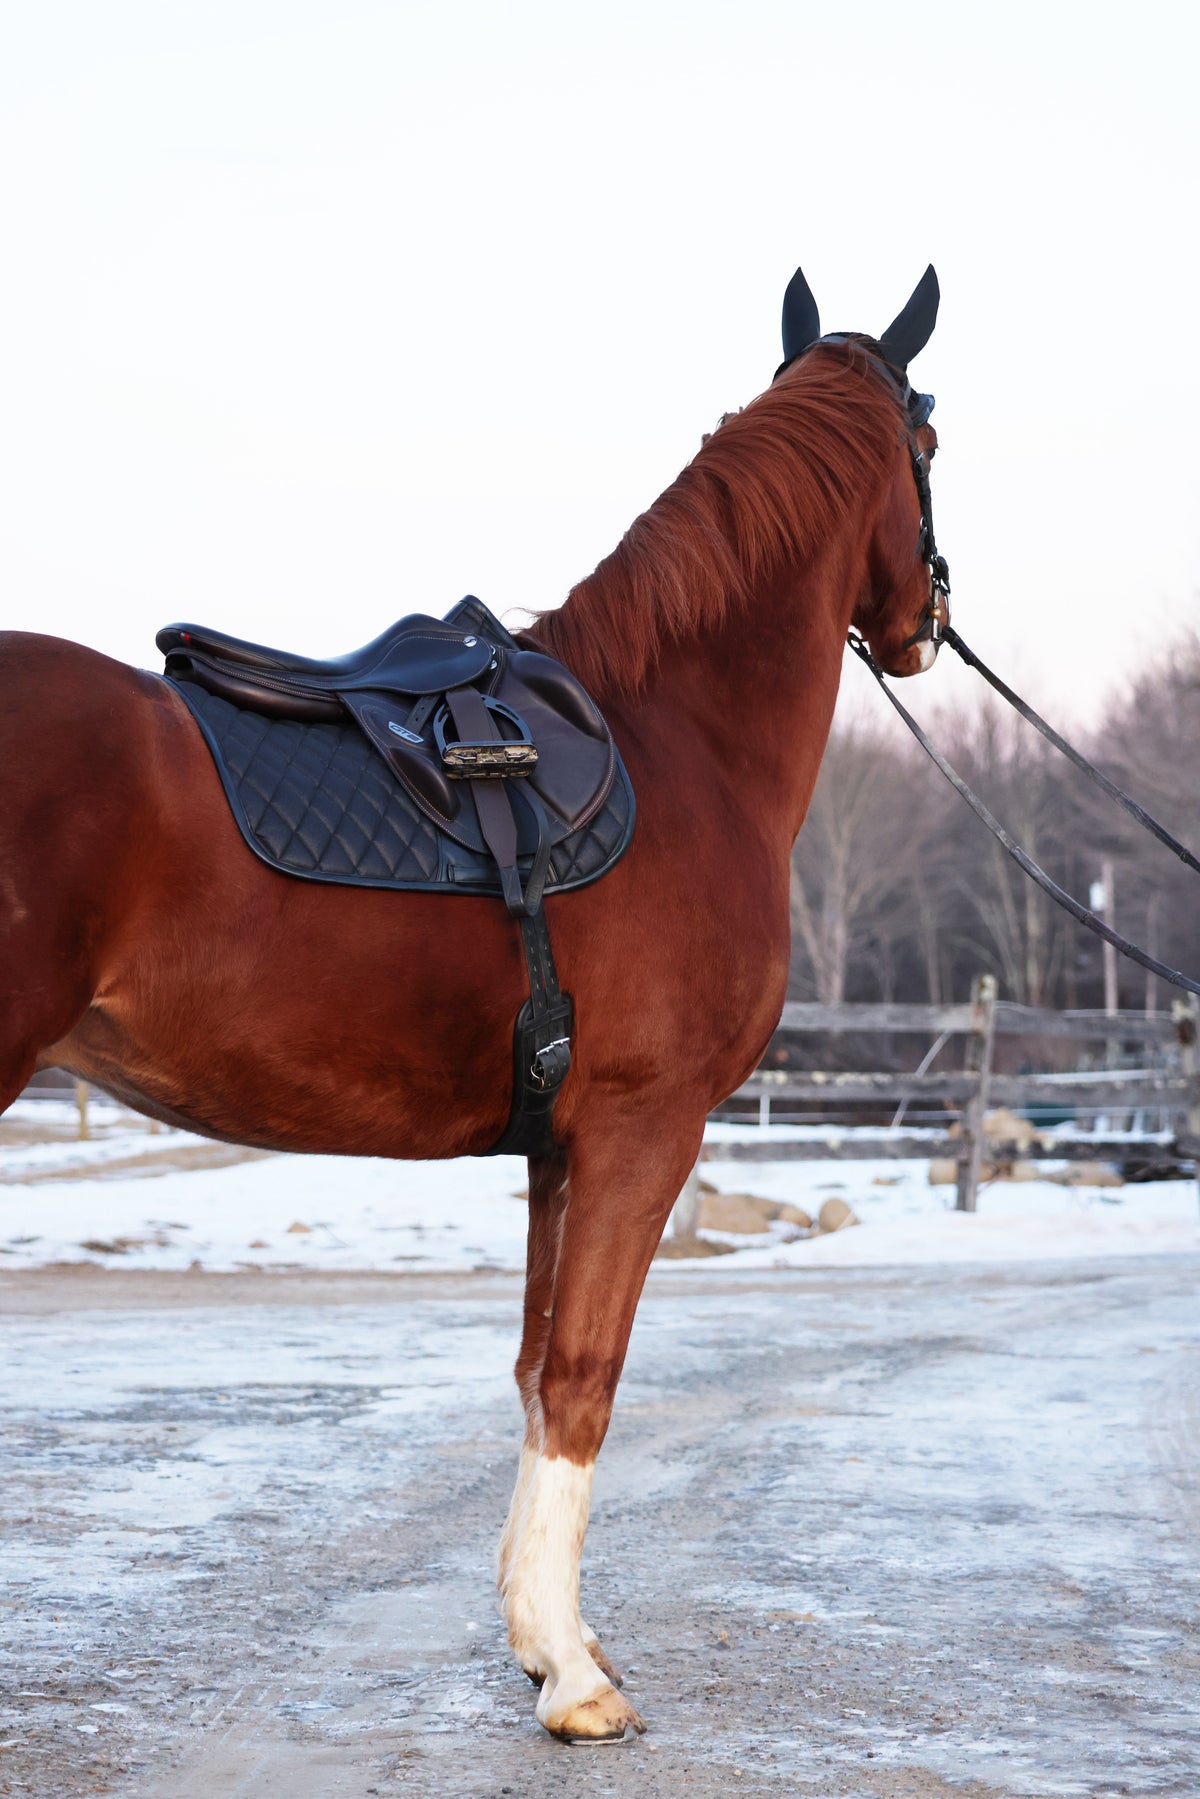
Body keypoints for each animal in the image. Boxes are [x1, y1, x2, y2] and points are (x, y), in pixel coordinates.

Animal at [0, 264, 946, 1742]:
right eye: (933, 439)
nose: (923, 625)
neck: (683, 744)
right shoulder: (642, 1131)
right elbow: (586, 1377)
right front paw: (574, 1674)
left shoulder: (558, 1145)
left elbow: (533, 1369)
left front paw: (543, 1636)